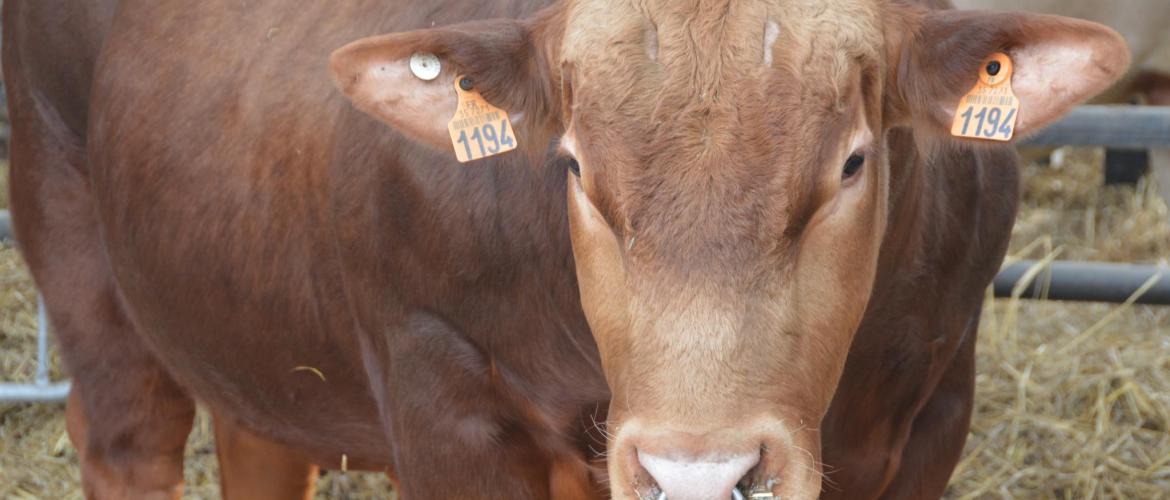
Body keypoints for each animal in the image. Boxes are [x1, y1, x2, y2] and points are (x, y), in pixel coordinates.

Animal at [2, 0, 1123, 500]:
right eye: (576, 164)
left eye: (852, 161)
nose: (697, 470)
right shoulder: (444, 397)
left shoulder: (932, 410)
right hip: (75, 240)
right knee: (127, 435)